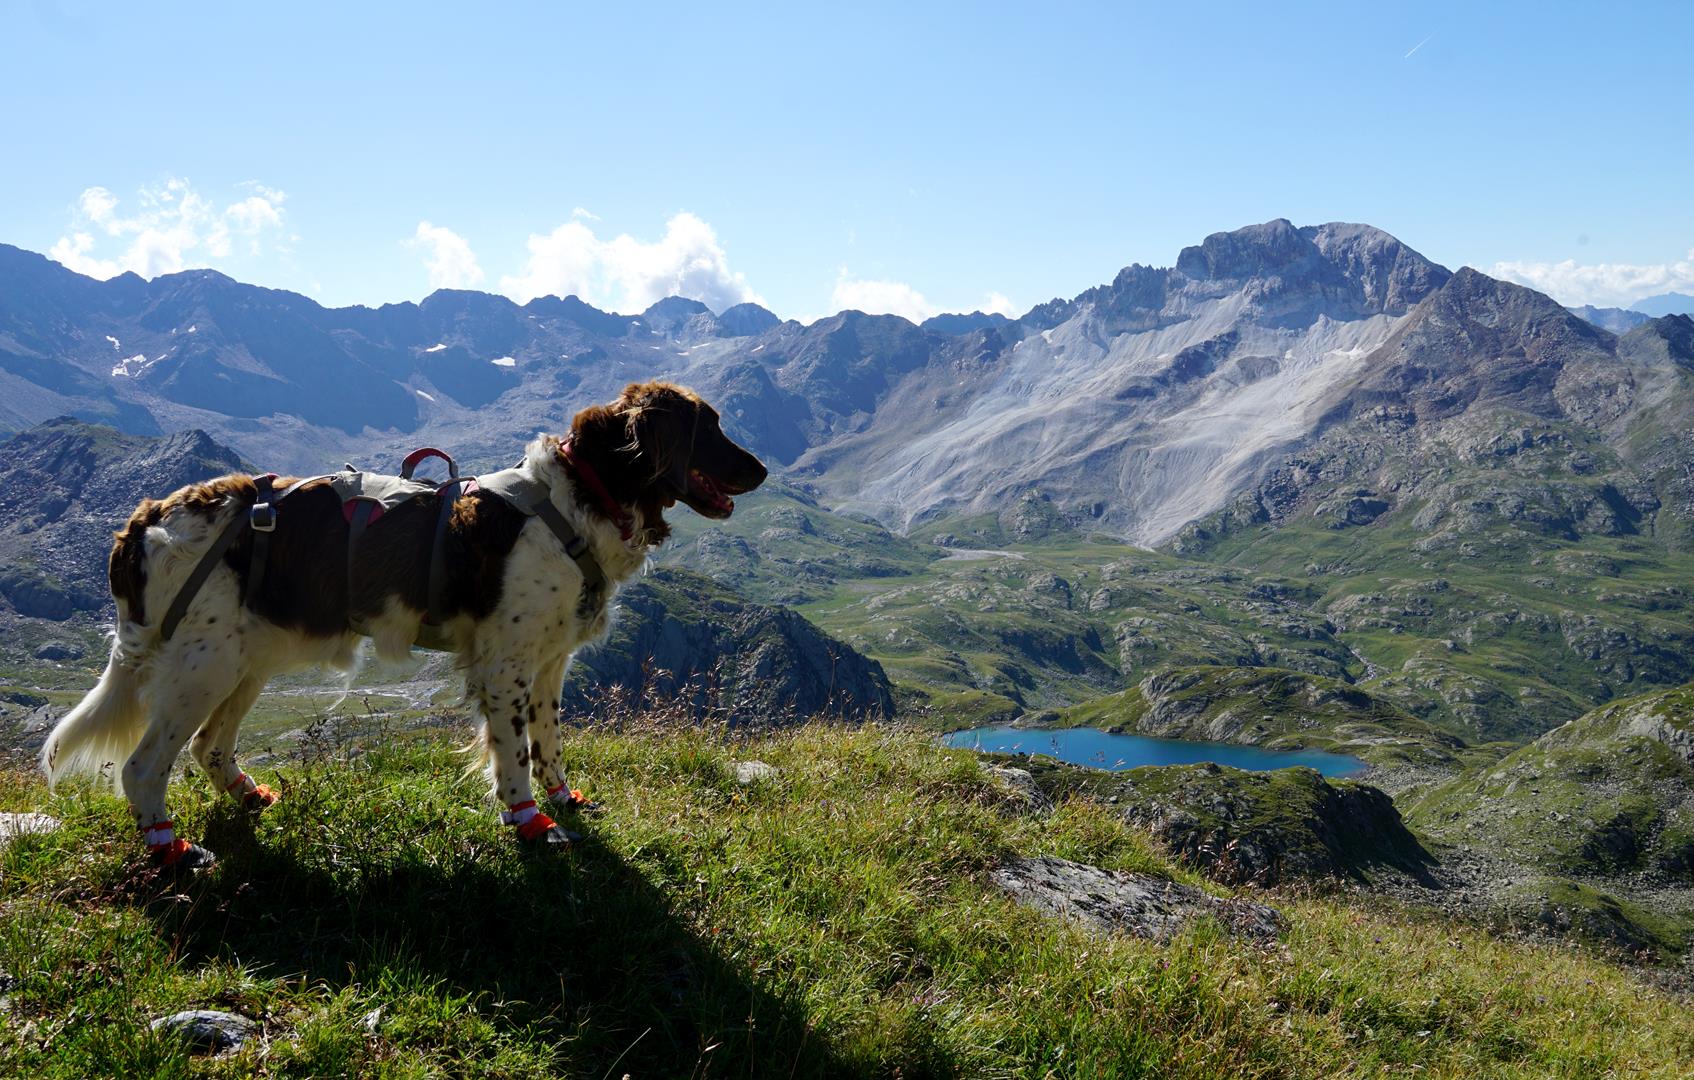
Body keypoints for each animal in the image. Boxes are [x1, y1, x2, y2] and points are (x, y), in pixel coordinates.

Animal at [39, 385, 769, 866]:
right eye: (709, 426)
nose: (762, 468)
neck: (576, 501)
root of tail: (148, 516)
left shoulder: (549, 662)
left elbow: (549, 741)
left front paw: (564, 799)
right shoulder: (504, 664)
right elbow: (513, 754)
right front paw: (529, 821)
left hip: (246, 659)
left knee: (208, 747)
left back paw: (249, 797)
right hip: (203, 665)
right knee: (144, 766)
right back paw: (172, 850)